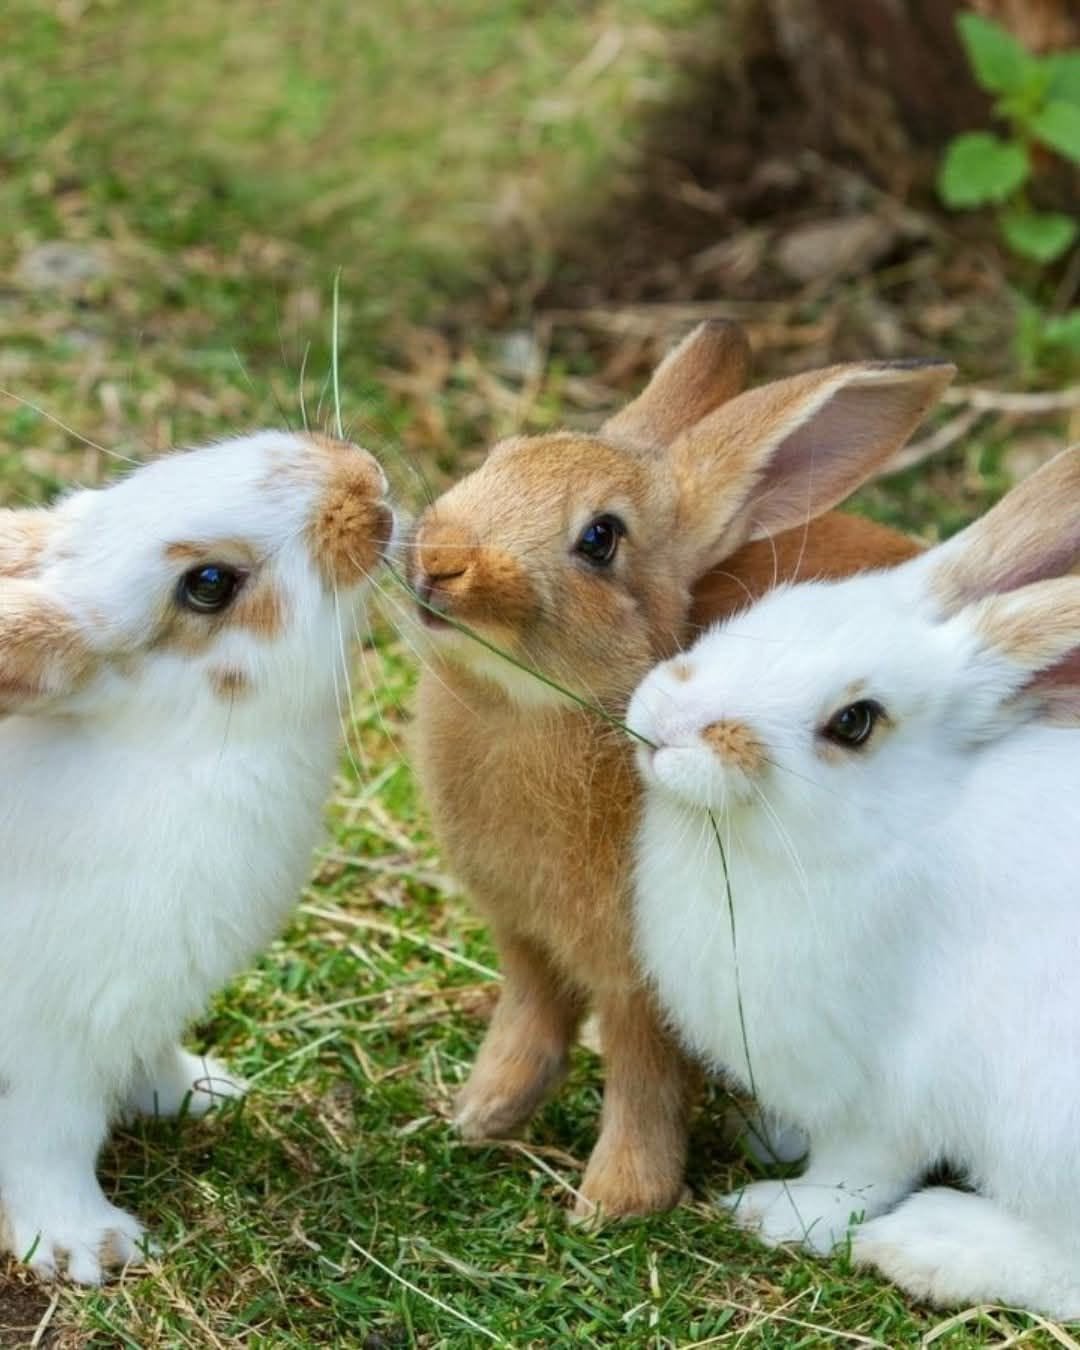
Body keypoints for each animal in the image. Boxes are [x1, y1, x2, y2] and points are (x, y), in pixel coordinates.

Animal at [0, 429, 394, 1284]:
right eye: (209, 584)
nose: (364, 482)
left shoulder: (144, 1010)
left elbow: (152, 1060)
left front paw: (203, 1093)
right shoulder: (46, 1052)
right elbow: (48, 1147)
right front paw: (91, 1247)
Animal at [406, 319, 954, 1218]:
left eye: (600, 538)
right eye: (500, 454)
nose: (443, 561)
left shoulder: (650, 986)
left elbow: (644, 1079)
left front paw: (615, 1200)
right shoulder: (523, 938)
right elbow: (531, 1021)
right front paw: (482, 1114)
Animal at [627, 445, 1080, 1319]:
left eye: (854, 722)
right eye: (780, 605)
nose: (668, 723)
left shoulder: (879, 1081)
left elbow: (857, 1173)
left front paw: (779, 1214)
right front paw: (765, 1136)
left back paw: (931, 1247)